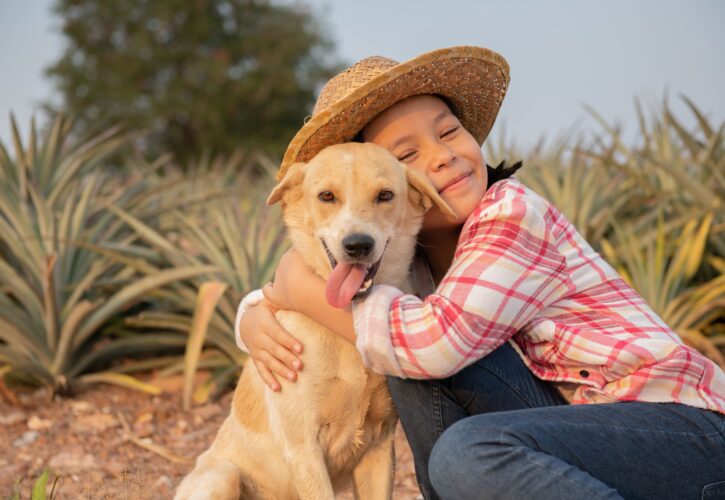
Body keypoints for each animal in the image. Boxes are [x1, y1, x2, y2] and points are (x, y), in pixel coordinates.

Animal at [175, 143, 452, 498]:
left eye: (385, 195)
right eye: (326, 196)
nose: (358, 245)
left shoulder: (379, 449)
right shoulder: (305, 449)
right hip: (222, 478)